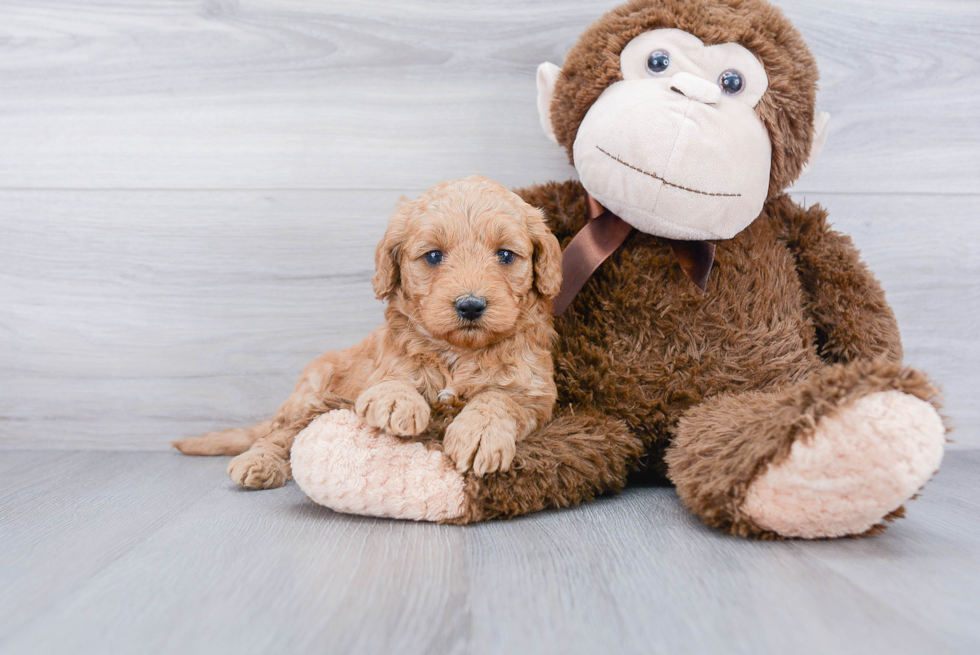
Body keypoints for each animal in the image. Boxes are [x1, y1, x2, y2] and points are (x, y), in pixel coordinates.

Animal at [172, 177, 564, 490]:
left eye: (505, 255)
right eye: (433, 256)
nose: (470, 306)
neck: (458, 352)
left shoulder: (536, 393)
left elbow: (499, 398)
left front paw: (480, 433)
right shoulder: (385, 362)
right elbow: (393, 377)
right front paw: (396, 400)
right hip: (311, 391)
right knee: (280, 434)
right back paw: (259, 463)